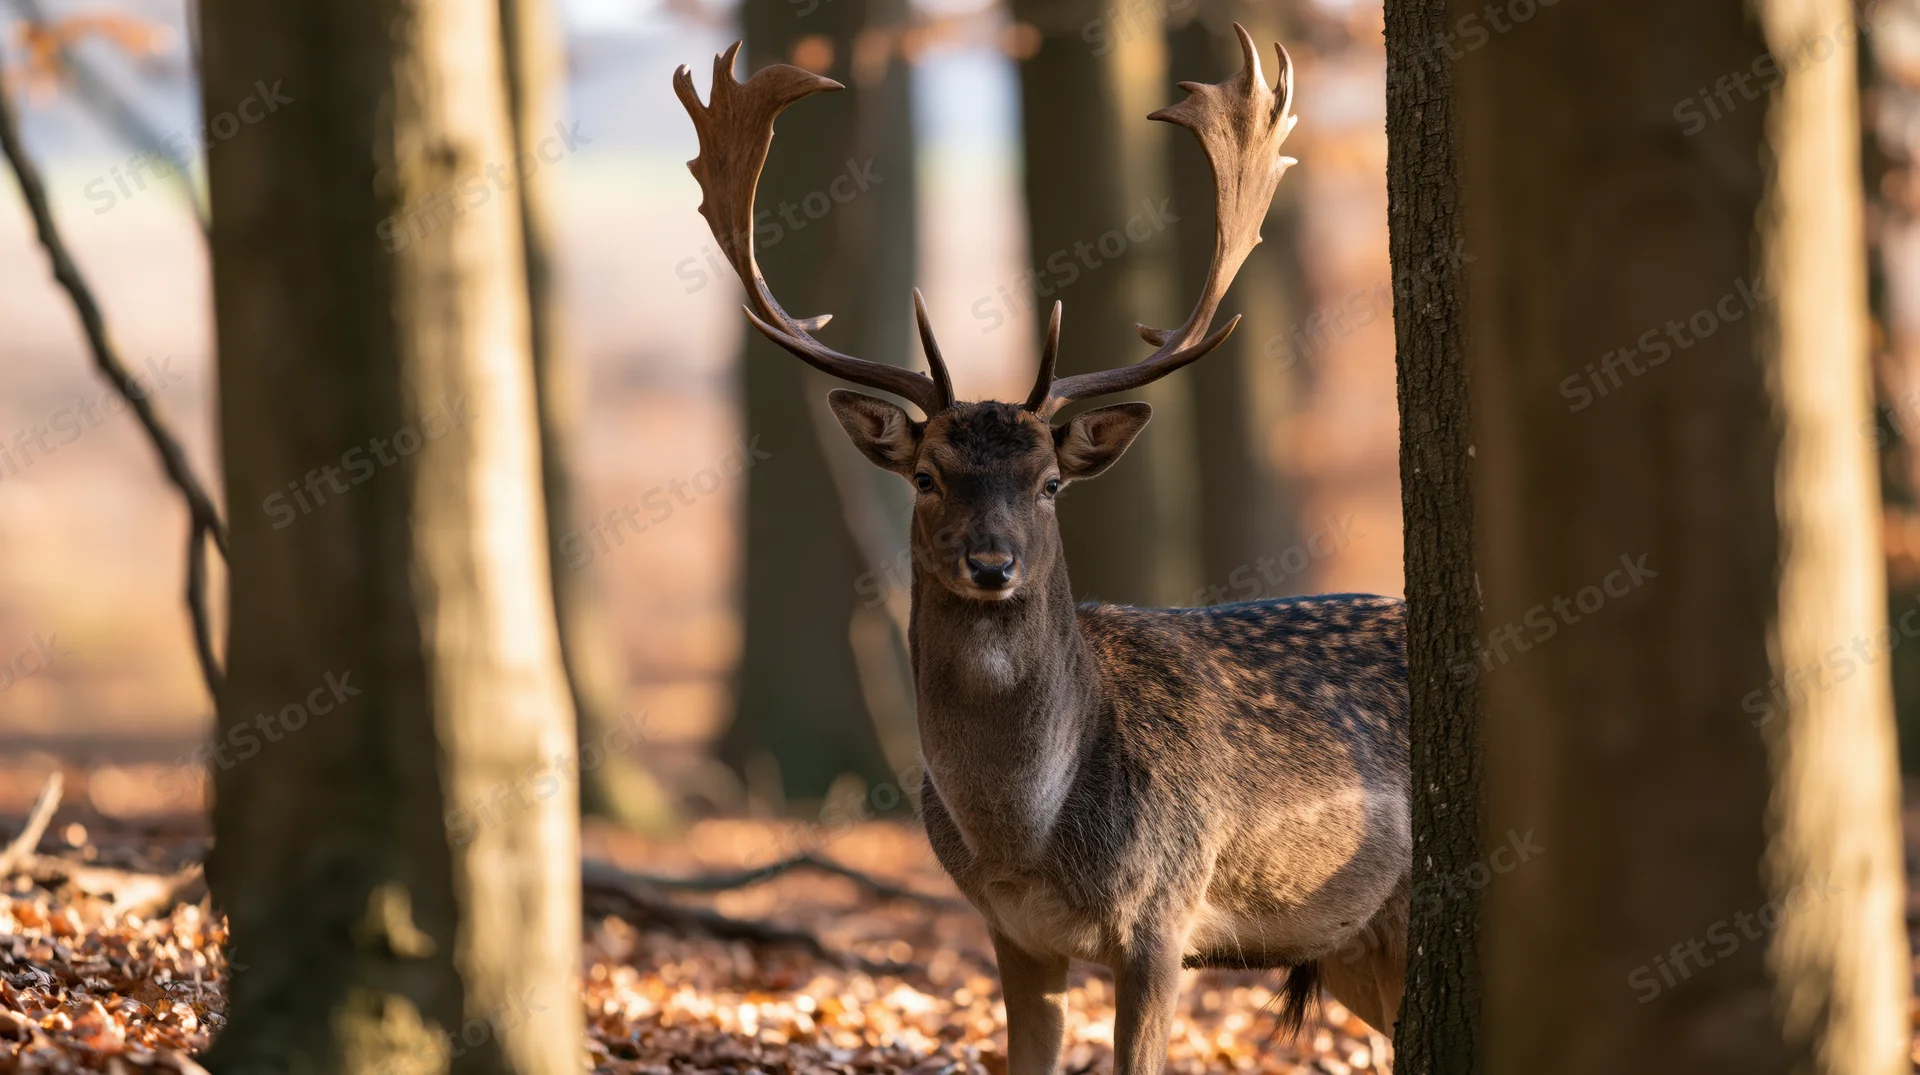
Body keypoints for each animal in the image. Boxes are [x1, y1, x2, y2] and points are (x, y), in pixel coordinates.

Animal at [675, 27, 1410, 1073]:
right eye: (928, 474)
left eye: (1050, 482)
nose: (992, 564)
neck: (1024, 839)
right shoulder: (1010, 933)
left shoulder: (1165, 916)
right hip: (1358, 945)